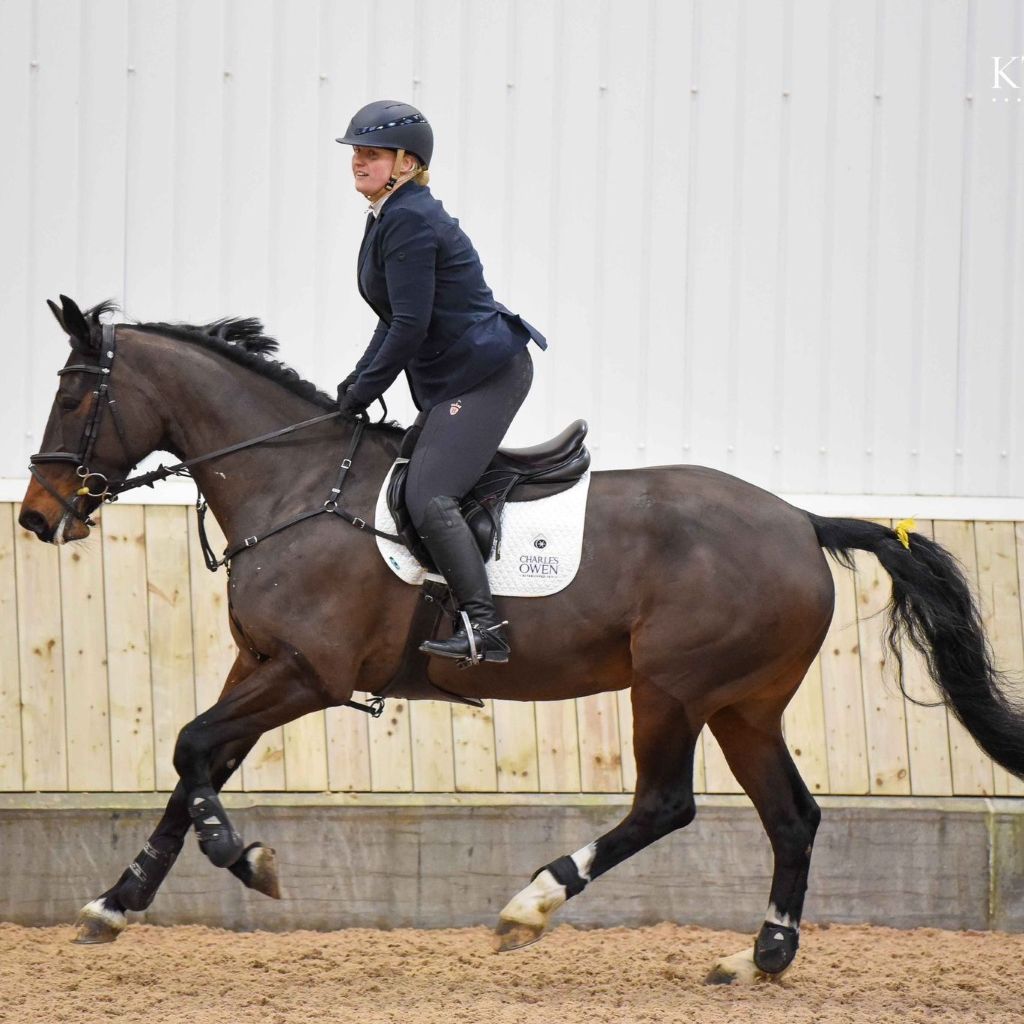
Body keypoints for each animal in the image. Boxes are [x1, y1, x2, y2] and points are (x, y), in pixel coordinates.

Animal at [19, 296, 1024, 985]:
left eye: (72, 396)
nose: (35, 517)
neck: (294, 482)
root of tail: (803, 522)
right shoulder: (260, 663)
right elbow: (195, 765)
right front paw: (117, 902)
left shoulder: (309, 673)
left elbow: (193, 749)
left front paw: (244, 859)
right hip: (746, 704)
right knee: (792, 817)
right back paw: (761, 956)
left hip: (673, 690)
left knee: (666, 804)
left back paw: (533, 903)